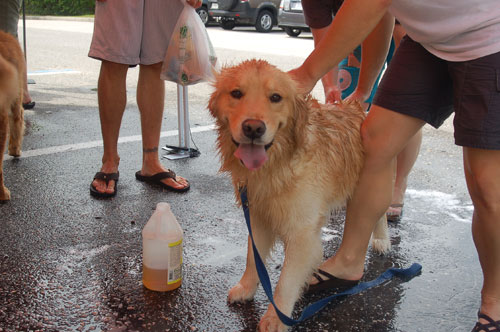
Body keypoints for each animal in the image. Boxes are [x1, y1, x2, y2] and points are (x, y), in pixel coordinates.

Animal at [207, 59, 390, 332]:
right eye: (236, 93)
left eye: (275, 97)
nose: (253, 128)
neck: (278, 163)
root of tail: (355, 106)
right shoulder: (258, 217)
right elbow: (253, 258)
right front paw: (246, 287)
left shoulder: (301, 234)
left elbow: (286, 281)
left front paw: (276, 318)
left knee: (381, 212)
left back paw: (381, 238)